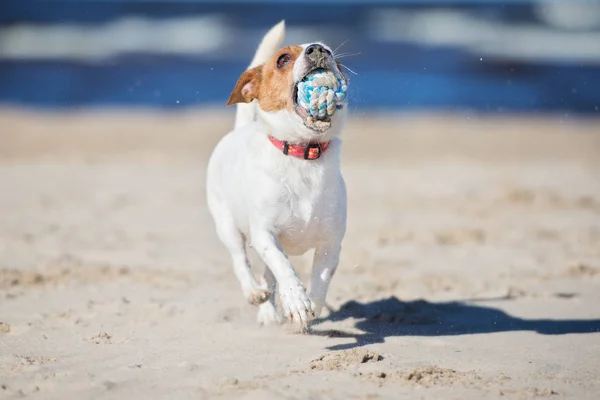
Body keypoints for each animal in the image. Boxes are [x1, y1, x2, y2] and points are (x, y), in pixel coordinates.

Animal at [205, 20, 346, 330]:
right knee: (243, 263)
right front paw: (295, 300)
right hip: (227, 226)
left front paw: (310, 307)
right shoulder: (265, 233)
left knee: (268, 275)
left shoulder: (331, 243)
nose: (318, 49)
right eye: (282, 59)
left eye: (331, 51)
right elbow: (283, 267)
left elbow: (320, 283)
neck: (302, 154)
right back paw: (257, 297)